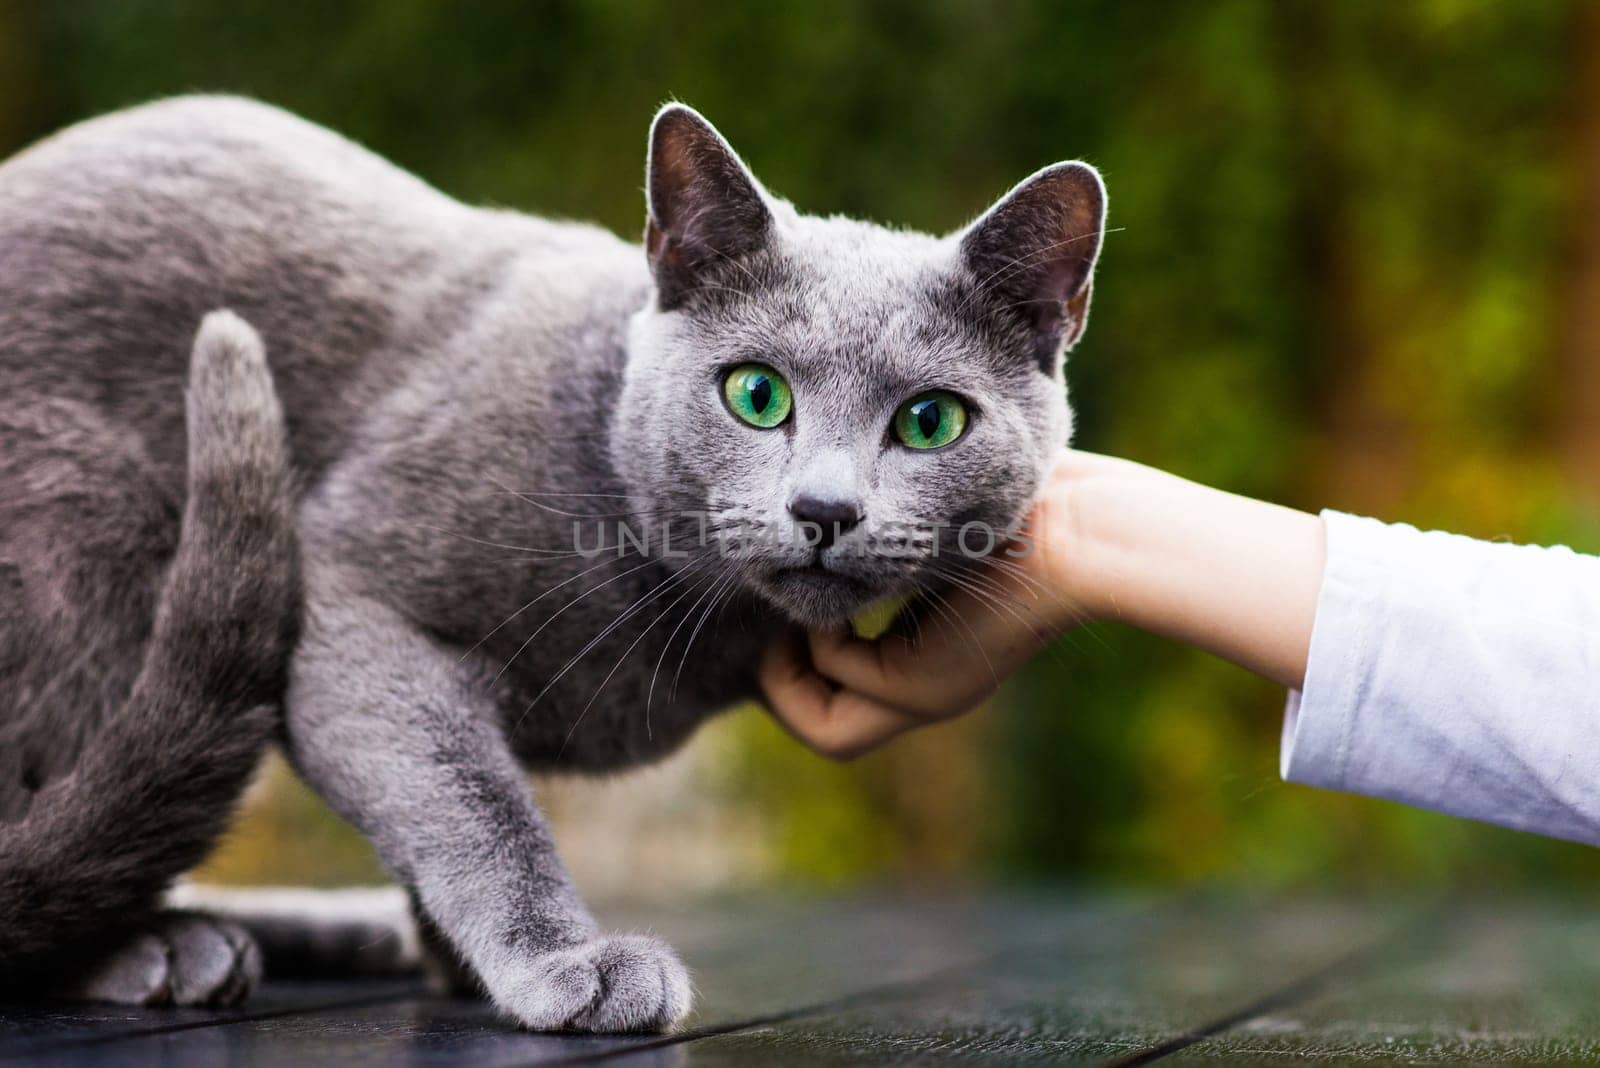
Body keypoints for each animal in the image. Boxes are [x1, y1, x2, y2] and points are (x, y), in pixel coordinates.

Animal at [0, 95, 1107, 1029]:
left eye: (929, 422)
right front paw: (561, 963)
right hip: (90, 523)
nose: (825, 509)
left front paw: (450, 957)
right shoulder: (356, 599)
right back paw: (156, 950)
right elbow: (472, 800)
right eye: (755, 395)